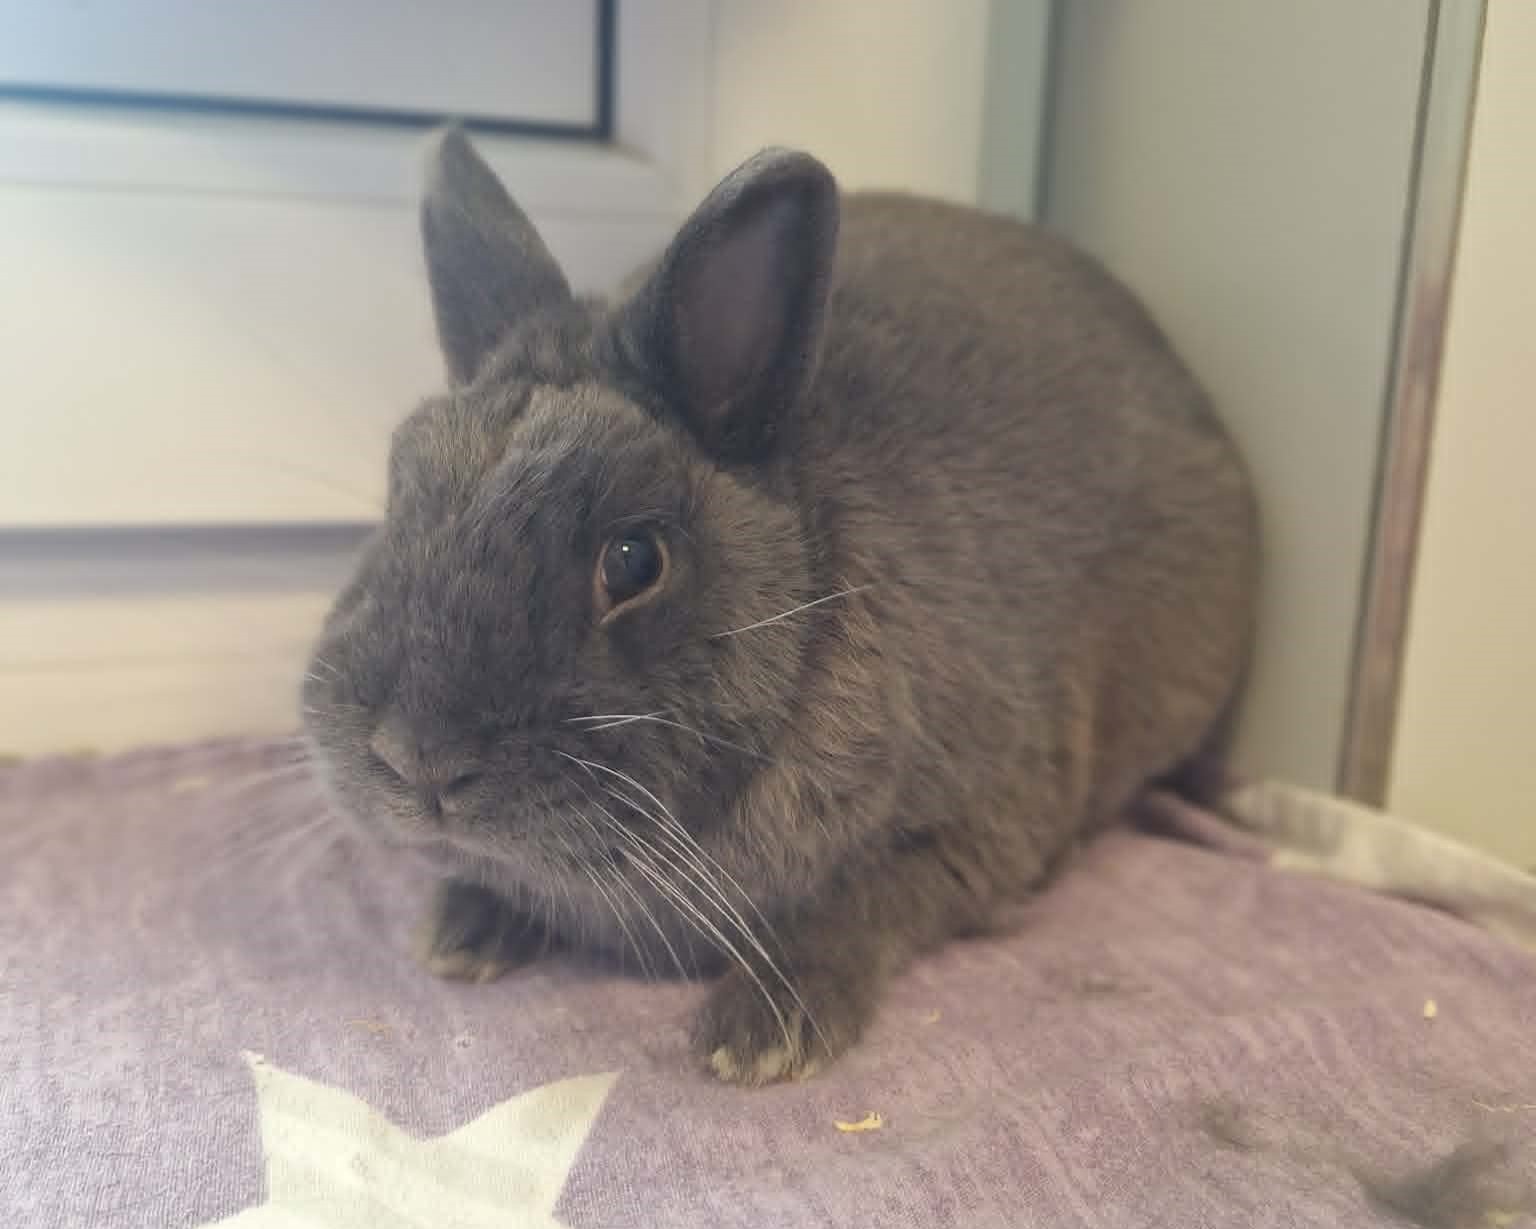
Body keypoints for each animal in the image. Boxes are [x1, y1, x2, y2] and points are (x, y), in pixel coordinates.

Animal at [301, 129, 1260, 1086]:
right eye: (400, 495)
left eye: (634, 559)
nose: (415, 759)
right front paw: (460, 932)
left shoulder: (985, 824)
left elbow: (865, 906)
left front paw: (761, 1030)